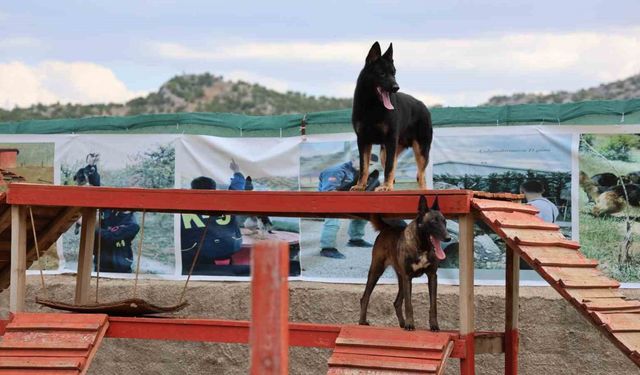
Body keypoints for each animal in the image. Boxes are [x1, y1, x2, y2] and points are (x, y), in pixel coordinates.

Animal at [360, 197, 450, 332]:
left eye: (445, 222)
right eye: (433, 222)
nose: (448, 238)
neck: (422, 247)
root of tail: (387, 228)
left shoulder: (432, 276)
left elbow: (433, 305)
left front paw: (434, 325)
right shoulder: (408, 277)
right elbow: (409, 304)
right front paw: (410, 325)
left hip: (401, 278)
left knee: (396, 302)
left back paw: (402, 324)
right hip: (376, 271)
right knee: (365, 297)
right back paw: (362, 322)